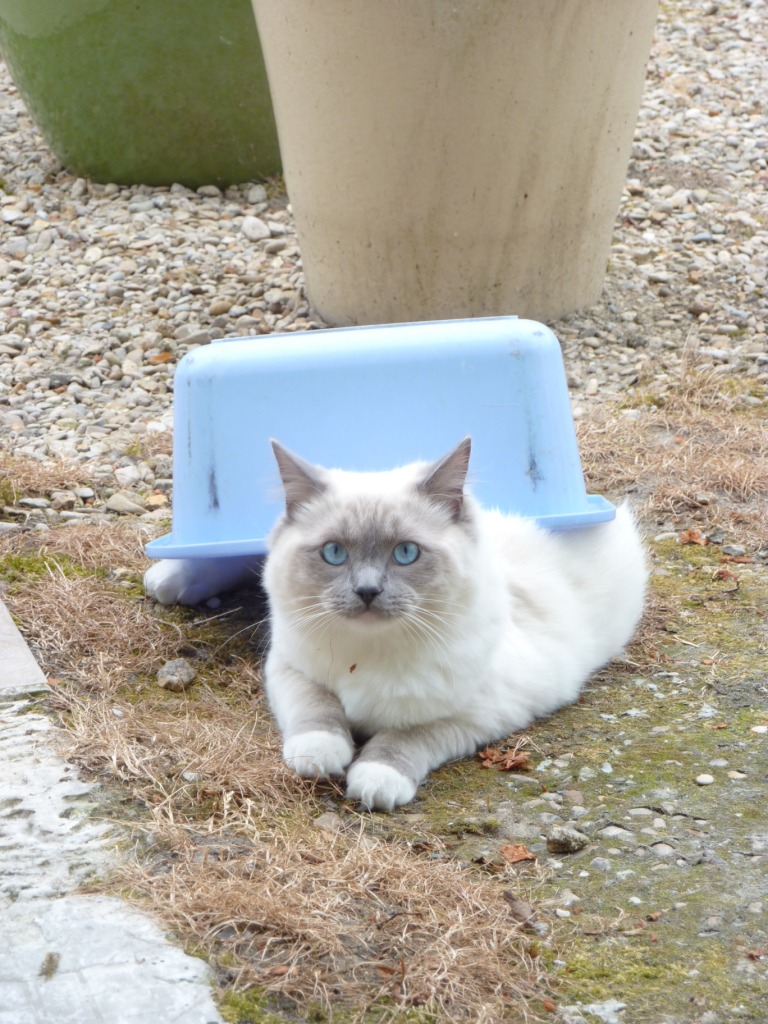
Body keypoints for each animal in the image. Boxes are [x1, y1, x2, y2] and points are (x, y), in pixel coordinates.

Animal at [143, 438, 643, 806]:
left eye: (405, 553)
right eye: (334, 553)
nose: (367, 591)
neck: (367, 655)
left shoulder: (480, 709)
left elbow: (405, 737)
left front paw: (374, 780)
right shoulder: (290, 668)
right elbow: (317, 710)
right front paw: (320, 755)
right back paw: (168, 578)